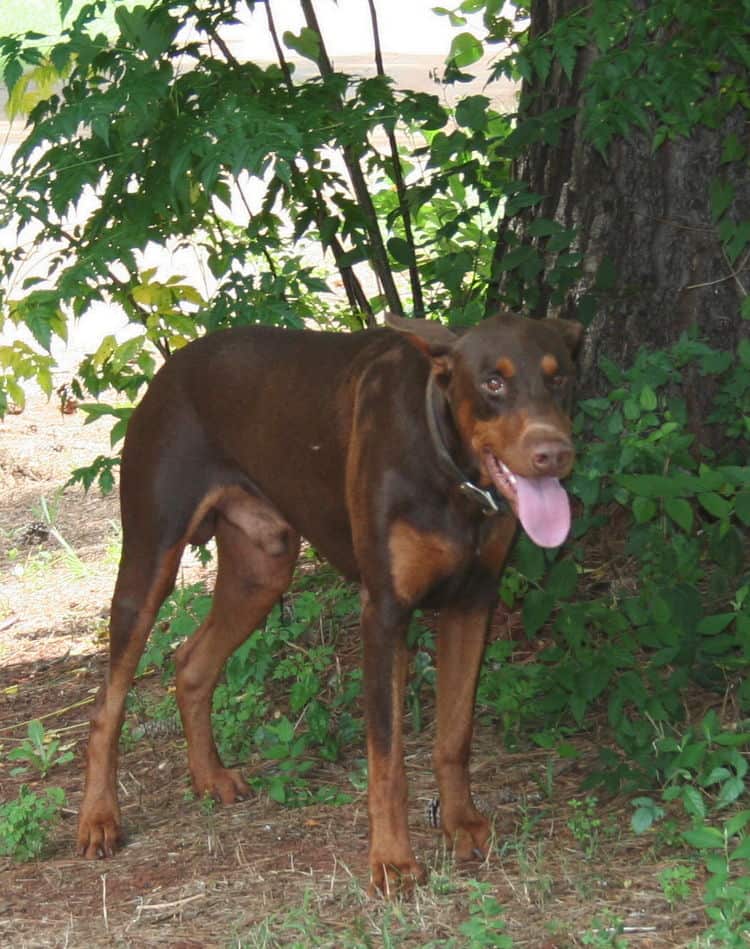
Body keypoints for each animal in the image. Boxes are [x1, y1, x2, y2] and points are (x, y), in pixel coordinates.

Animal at [78, 310, 580, 888]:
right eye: (493, 383)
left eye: (560, 378)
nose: (555, 454)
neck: (451, 473)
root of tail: (171, 366)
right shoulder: (383, 612)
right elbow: (387, 758)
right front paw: (392, 860)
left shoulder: (473, 603)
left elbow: (455, 737)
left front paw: (463, 825)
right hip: (150, 556)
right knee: (108, 703)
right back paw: (99, 819)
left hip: (262, 569)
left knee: (191, 663)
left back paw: (210, 777)